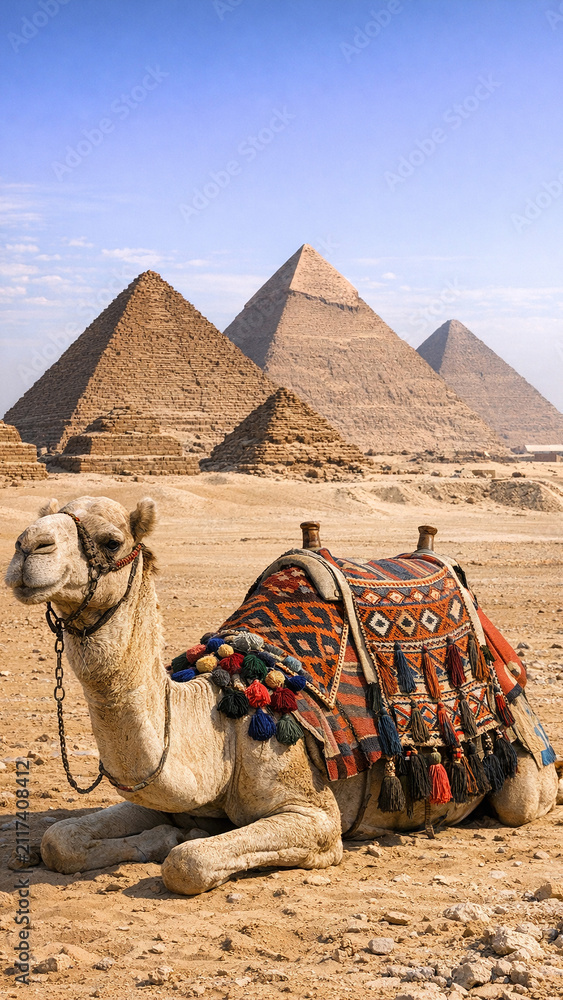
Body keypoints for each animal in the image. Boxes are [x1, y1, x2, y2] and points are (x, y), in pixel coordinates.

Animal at [5, 495, 558, 896]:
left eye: (111, 538)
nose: (27, 546)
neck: (220, 724)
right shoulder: (170, 795)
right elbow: (58, 841)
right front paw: (169, 834)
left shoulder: (314, 817)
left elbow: (186, 863)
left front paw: (180, 841)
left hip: (522, 763)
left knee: (526, 802)